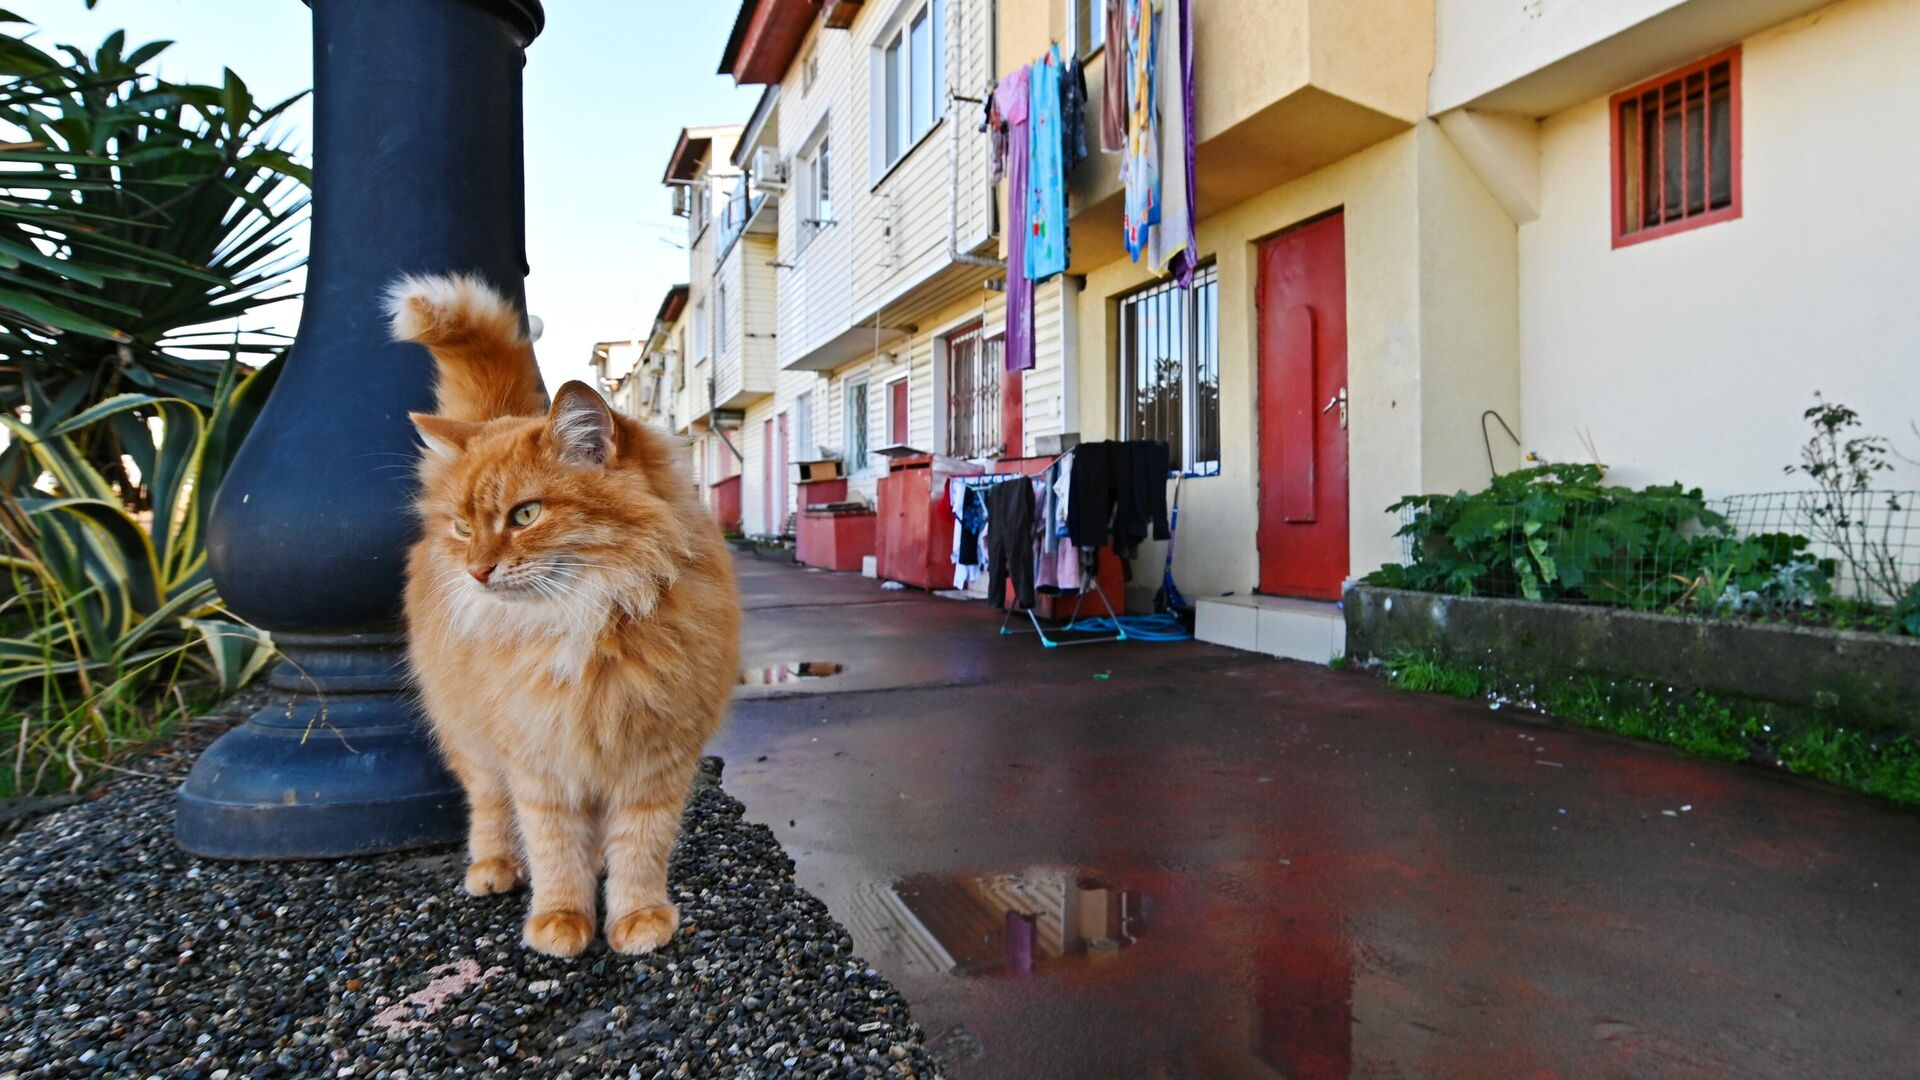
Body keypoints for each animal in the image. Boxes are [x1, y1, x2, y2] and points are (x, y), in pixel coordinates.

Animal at [385, 272, 737, 953]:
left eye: (525, 515)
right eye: (465, 528)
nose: (478, 569)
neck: (590, 620)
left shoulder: (654, 760)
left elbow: (640, 849)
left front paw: (636, 919)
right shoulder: (537, 762)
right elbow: (551, 848)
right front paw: (560, 920)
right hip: (469, 738)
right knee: (488, 806)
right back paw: (494, 868)